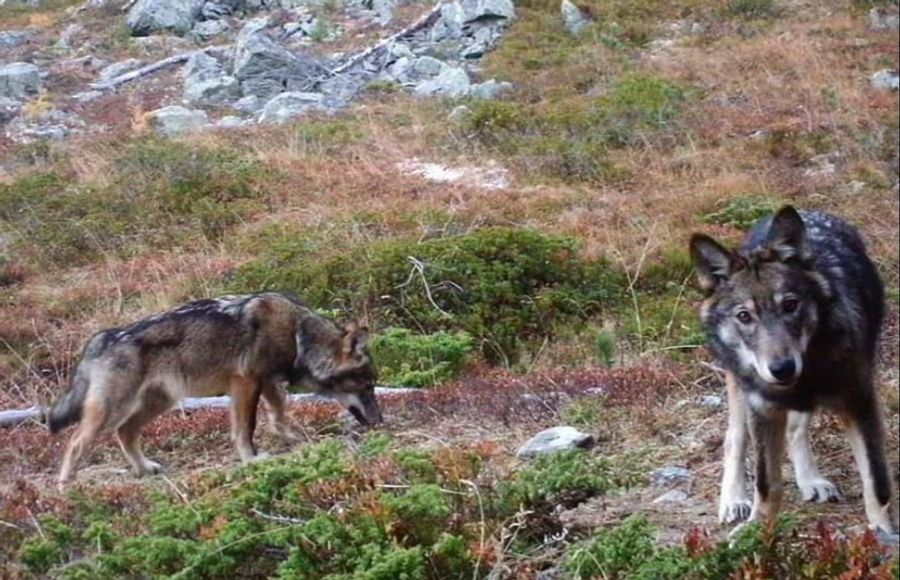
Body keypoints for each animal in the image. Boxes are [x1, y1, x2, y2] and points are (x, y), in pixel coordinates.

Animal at [47, 290, 382, 484]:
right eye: (367, 386)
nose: (380, 422)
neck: (298, 334)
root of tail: (102, 337)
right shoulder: (246, 381)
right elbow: (246, 427)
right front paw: (251, 460)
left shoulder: (267, 382)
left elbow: (279, 416)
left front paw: (294, 439)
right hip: (113, 410)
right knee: (75, 442)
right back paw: (65, 490)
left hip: (158, 403)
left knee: (125, 433)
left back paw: (144, 469)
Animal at [692, 206, 896, 532]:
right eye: (744, 316)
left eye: (790, 305)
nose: (782, 369)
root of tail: (809, 211)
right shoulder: (762, 409)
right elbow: (766, 485)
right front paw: (755, 533)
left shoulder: (861, 404)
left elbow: (877, 483)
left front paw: (883, 534)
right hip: (739, 388)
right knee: (734, 438)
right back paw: (734, 500)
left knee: (795, 429)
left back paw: (811, 481)